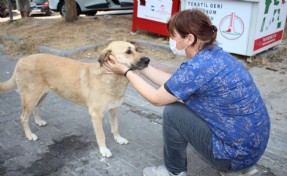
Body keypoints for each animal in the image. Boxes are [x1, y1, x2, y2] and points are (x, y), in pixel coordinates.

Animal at [0, 41, 150, 157]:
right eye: (128, 52)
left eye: (137, 49)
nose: (148, 60)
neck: (110, 77)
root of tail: (21, 60)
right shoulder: (96, 115)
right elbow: (101, 135)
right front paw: (104, 150)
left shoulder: (114, 110)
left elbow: (116, 128)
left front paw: (118, 139)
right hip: (31, 97)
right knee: (23, 118)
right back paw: (30, 135)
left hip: (41, 95)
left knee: (36, 108)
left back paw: (38, 121)